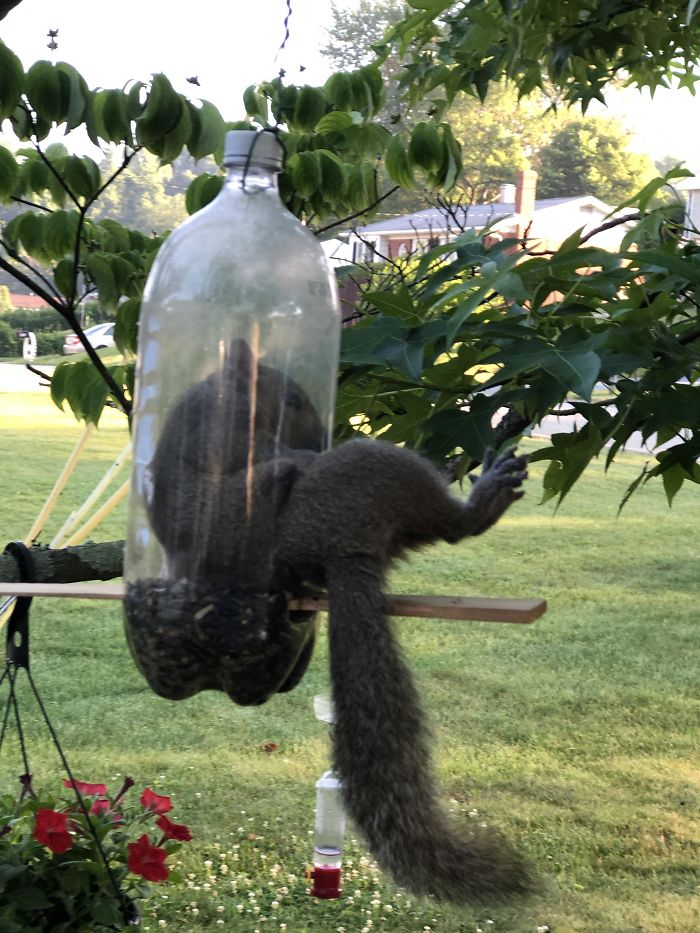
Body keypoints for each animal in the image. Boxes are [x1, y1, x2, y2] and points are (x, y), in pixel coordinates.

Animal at [126, 339, 532, 903]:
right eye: (293, 399)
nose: (320, 431)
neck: (228, 399)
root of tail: (344, 552)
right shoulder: (220, 432)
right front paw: (295, 455)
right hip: (372, 471)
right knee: (453, 527)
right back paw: (484, 497)